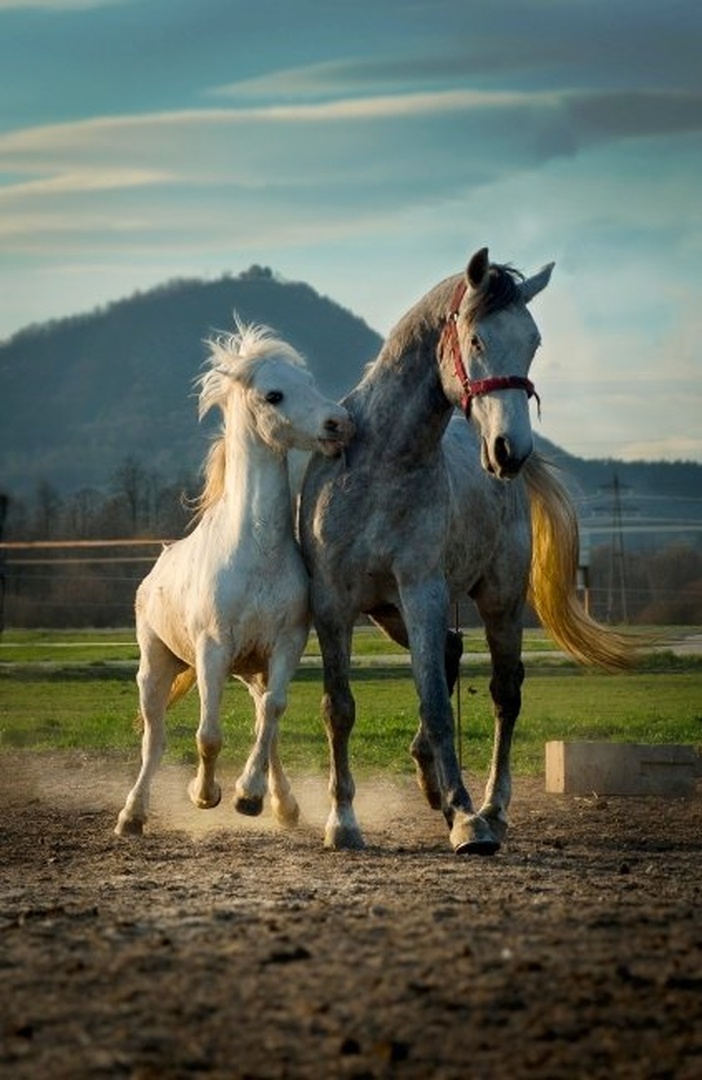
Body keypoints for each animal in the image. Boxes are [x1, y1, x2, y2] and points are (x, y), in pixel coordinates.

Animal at [115, 320, 354, 837]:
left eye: (310, 382)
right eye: (274, 394)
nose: (340, 423)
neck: (256, 553)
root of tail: (155, 568)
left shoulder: (285, 647)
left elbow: (273, 717)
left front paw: (249, 795)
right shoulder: (212, 651)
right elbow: (208, 734)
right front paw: (204, 795)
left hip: (251, 671)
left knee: (266, 719)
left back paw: (281, 804)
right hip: (156, 667)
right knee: (154, 739)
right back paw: (132, 815)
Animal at [299, 247, 636, 855]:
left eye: (533, 342)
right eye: (476, 340)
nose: (510, 450)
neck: (381, 467)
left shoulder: (423, 591)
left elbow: (435, 703)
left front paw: (465, 817)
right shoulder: (333, 603)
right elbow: (339, 707)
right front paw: (343, 821)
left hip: (497, 601)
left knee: (504, 693)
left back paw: (491, 808)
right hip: (388, 612)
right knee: (453, 652)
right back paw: (430, 780)